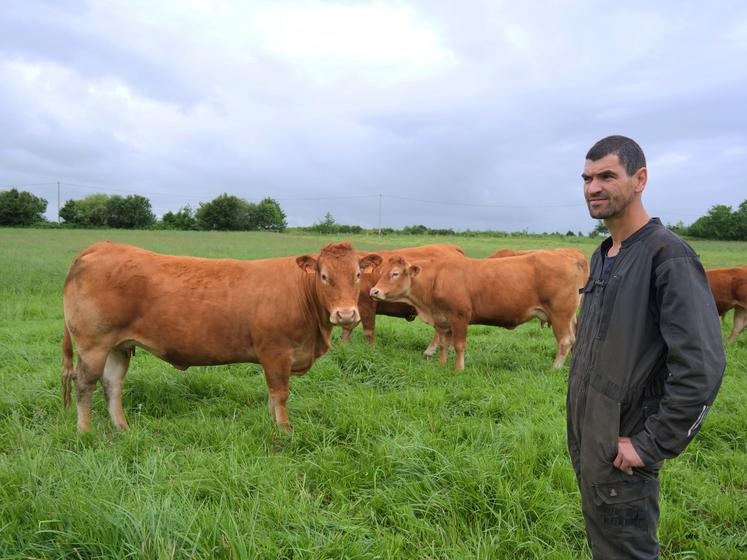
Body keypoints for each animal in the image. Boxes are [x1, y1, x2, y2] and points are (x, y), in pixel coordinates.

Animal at [61, 242, 382, 434]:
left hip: (119, 346)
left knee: (112, 384)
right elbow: (280, 394)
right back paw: (85, 432)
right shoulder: (276, 352)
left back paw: (122, 428)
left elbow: (271, 395)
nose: (345, 314)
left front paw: (272, 424)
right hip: (93, 344)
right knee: (85, 384)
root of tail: (102, 246)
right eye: (324, 276)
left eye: (357, 275)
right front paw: (284, 431)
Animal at [372, 252, 588, 370]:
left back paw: (555, 368)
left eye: (395, 273)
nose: (374, 291)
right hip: (569, 316)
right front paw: (442, 364)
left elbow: (458, 345)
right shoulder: (443, 320)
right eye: (381, 273)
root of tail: (570, 258)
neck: (437, 278)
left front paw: (458, 369)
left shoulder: (459, 317)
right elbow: (444, 344)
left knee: (565, 341)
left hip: (560, 314)